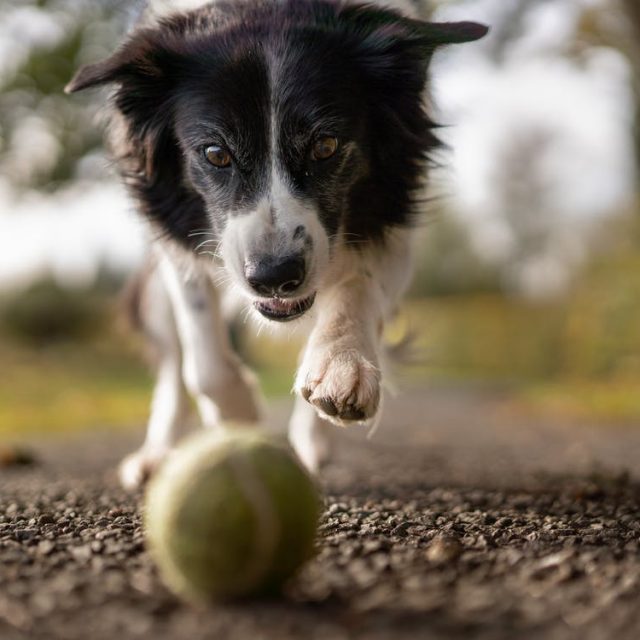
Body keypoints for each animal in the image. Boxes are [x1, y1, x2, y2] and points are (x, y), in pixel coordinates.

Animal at [66, 1, 484, 490]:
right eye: (215, 154)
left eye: (325, 145)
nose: (274, 278)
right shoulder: (177, 240)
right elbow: (203, 360)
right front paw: (241, 420)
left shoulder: (393, 220)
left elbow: (357, 285)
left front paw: (341, 365)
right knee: (172, 364)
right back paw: (156, 455)